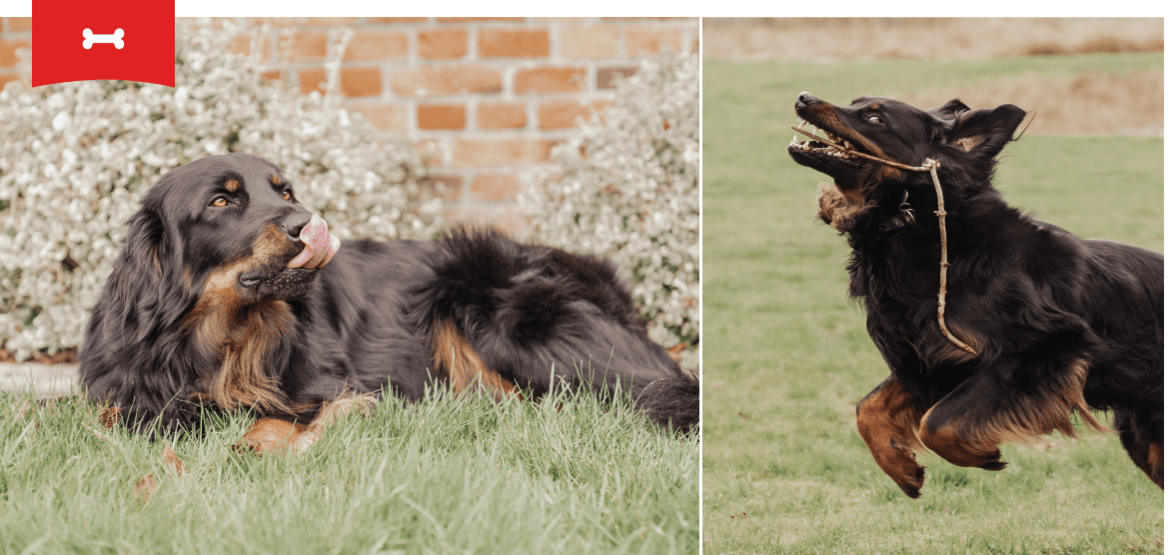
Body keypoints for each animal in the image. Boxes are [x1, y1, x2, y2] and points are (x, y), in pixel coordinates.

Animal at [84, 153, 701, 451]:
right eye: (220, 202)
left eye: (285, 190)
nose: (307, 223)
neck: (229, 336)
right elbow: (125, 412)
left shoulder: (332, 388)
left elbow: (279, 415)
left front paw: (257, 444)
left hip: (508, 316)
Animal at [790, 92, 1164, 500]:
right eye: (855, 101)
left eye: (875, 118)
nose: (804, 97)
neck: (917, 222)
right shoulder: (933, 359)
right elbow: (868, 409)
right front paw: (901, 467)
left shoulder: (1046, 346)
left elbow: (935, 423)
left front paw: (981, 456)